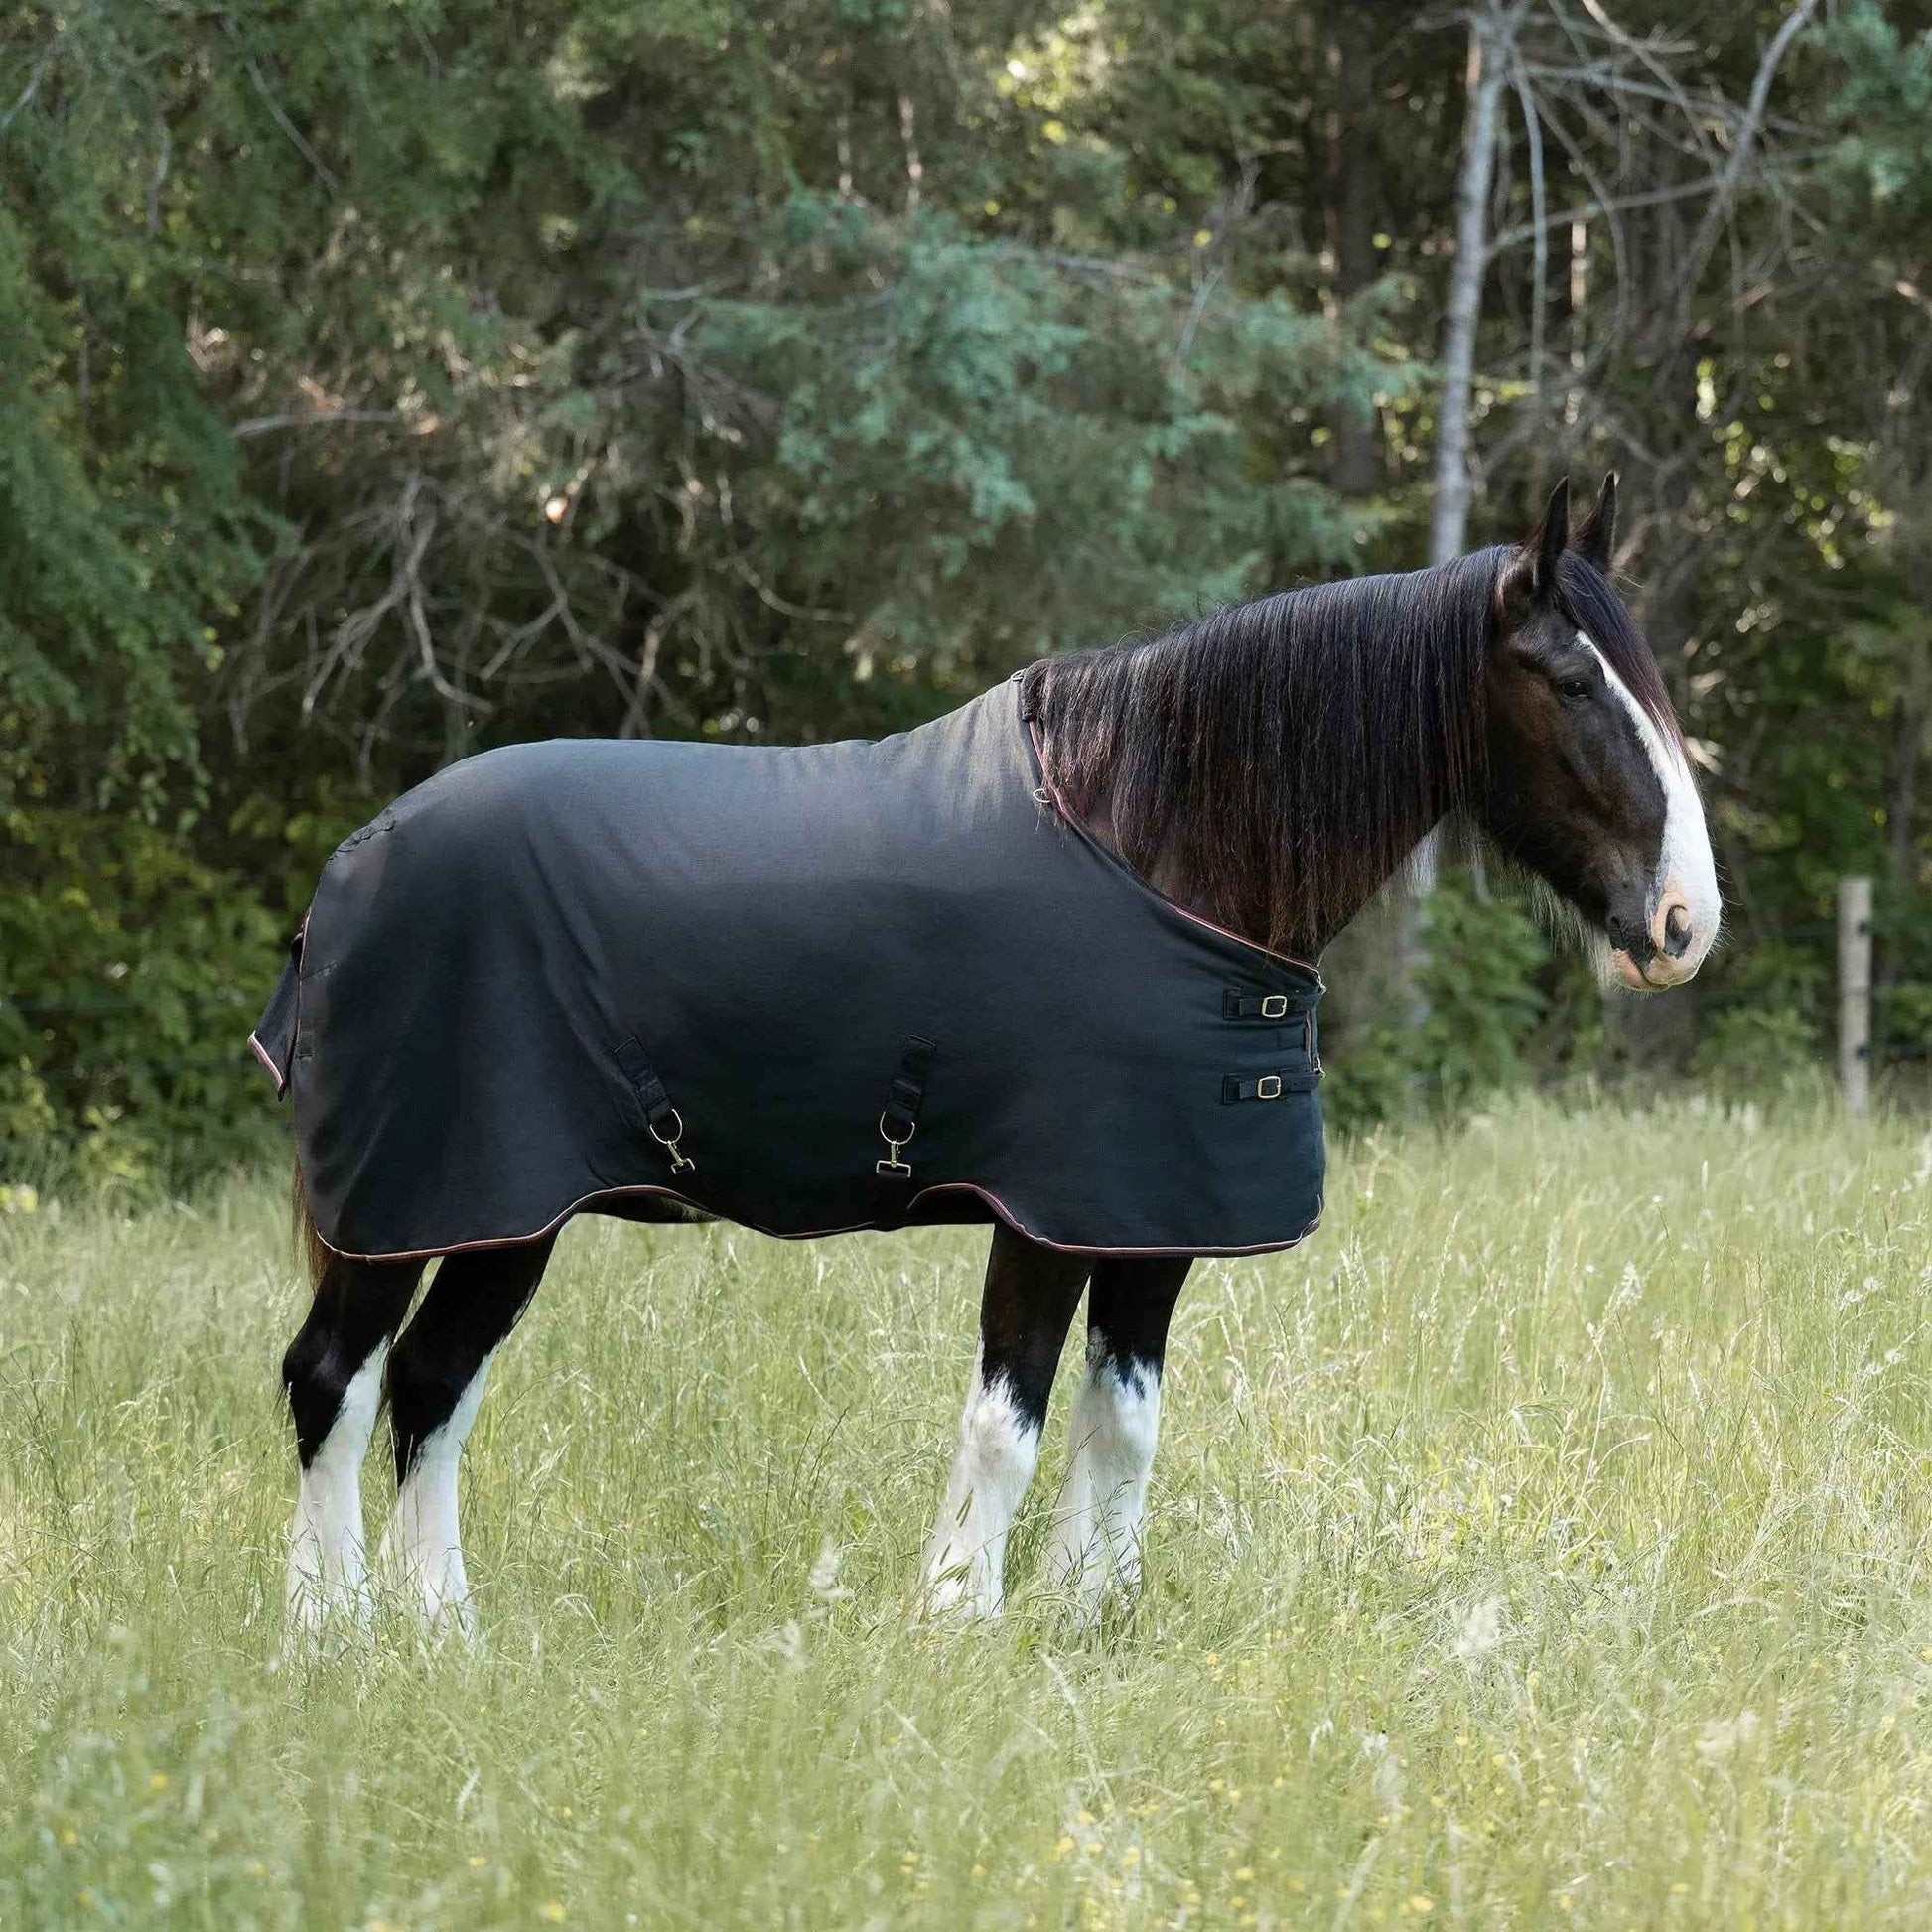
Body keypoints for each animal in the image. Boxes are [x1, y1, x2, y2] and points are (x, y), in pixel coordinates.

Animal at [266, 473, 1718, 1636]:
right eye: (1572, 681)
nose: (1682, 923)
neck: (1151, 837)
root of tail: (354, 864)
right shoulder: (1047, 1208)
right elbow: (1004, 1420)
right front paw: (961, 1615)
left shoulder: (1153, 1212)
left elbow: (1119, 1420)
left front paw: (1088, 1616)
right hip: (422, 1203)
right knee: (335, 1377)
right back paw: (329, 1627)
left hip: (502, 1214)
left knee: (431, 1382)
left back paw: (443, 1629)